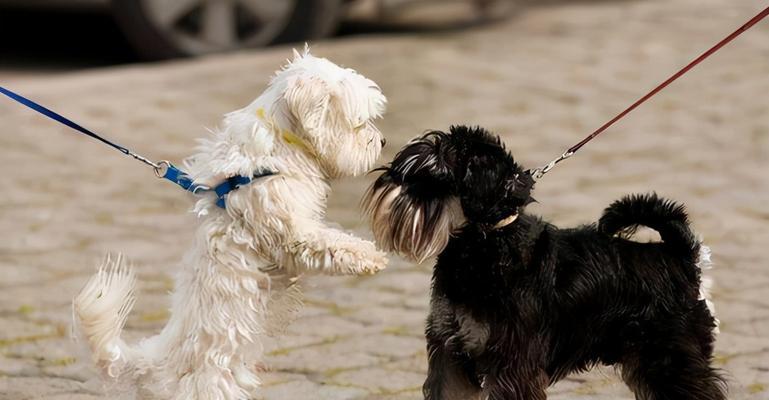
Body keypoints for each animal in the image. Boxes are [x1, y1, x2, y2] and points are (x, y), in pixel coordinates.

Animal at [74, 50, 388, 400]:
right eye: (358, 122)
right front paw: (370, 257)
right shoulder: (291, 233)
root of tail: (152, 363)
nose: (383, 141)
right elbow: (330, 243)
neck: (279, 149)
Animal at [364, 126, 724, 400]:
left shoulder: (510, 365)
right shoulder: (451, 354)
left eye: (432, 176)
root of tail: (681, 256)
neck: (486, 244)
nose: (388, 180)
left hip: (669, 362)